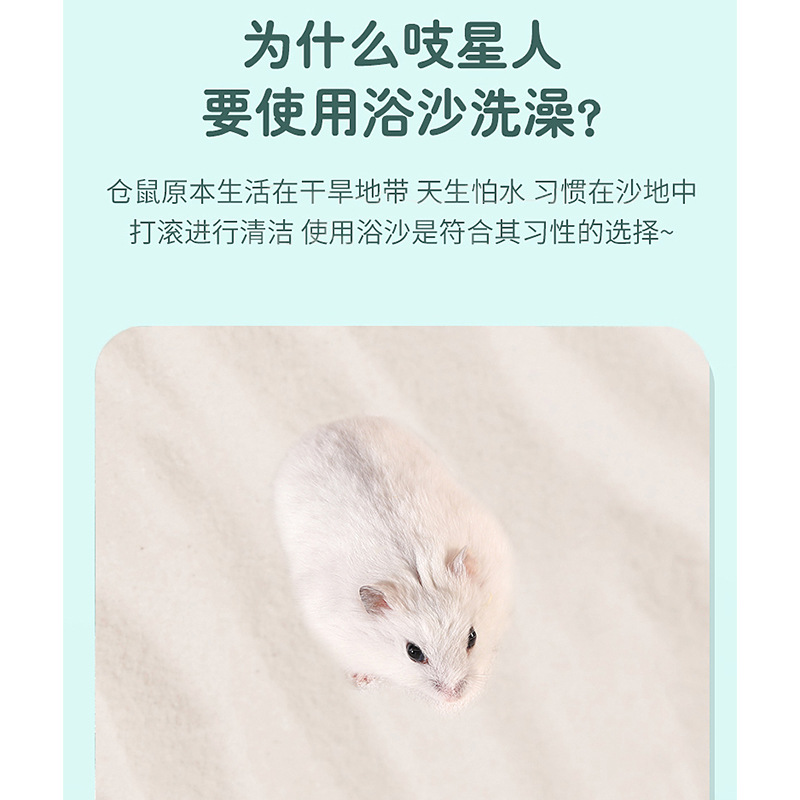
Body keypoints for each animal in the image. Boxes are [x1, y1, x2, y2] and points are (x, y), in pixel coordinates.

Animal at [273, 417, 512, 709]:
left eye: (472, 637)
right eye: (413, 652)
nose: (454, 697)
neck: (416, 573)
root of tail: (329, 426)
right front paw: (361, 681)